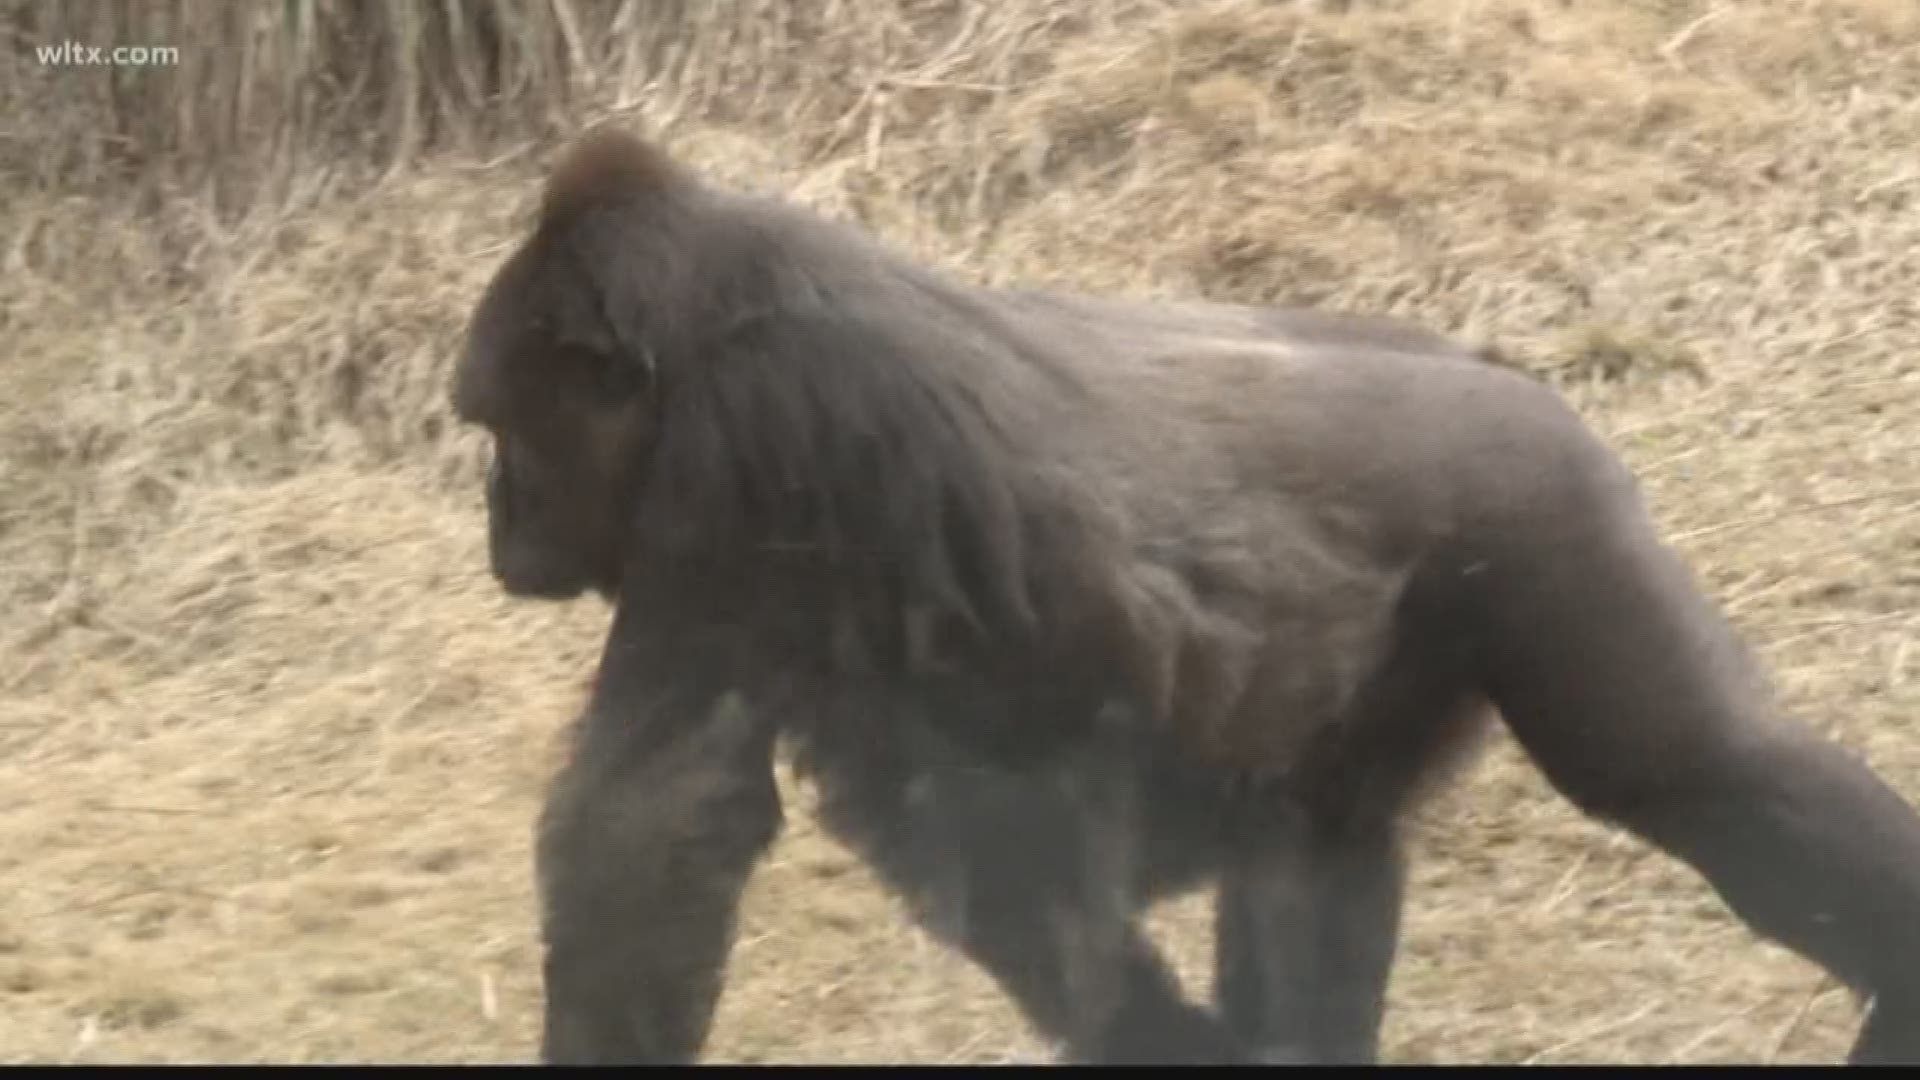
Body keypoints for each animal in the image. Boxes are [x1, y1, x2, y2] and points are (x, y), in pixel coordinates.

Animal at [449, 125, 1920, 1065]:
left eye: (500, 428)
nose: (498, 524)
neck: (708, 319)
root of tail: (1492, 365)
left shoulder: (760, 445)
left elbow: (656, 820)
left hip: (1538, 512)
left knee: (1693, 770)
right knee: (1310, 848)